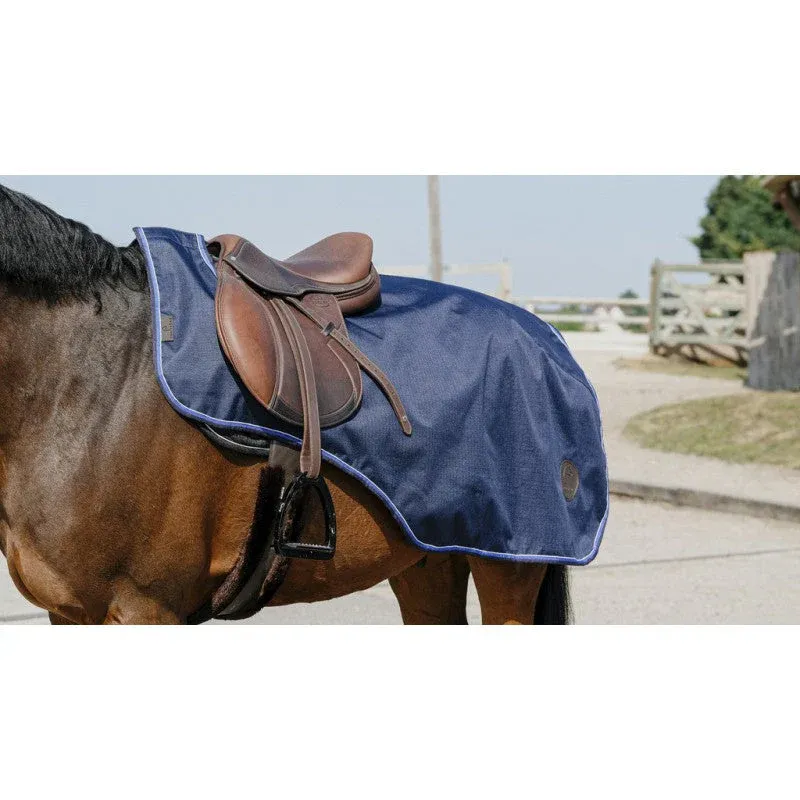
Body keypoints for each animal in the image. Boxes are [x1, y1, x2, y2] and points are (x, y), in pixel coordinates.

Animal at [0, 184, 570, 624]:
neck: (89, 382)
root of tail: (547, 337)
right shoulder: (70, 611)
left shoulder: (143, 605)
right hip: (428, 558)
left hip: (509, 567)